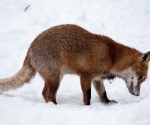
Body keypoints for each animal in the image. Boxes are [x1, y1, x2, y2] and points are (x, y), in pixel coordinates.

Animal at [0, 23, 150, 105]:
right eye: (141, 78)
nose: (138, 95)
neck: (112, 56)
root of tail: (30, 49)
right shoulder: (86, 75)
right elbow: (87, 96)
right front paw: (87, 108)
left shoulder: (97, 78)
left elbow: (103, 94)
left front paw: (108, 103)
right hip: (55, 79)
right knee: (49, 94)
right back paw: (55, 107)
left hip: (55, 78)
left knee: (44, 93)